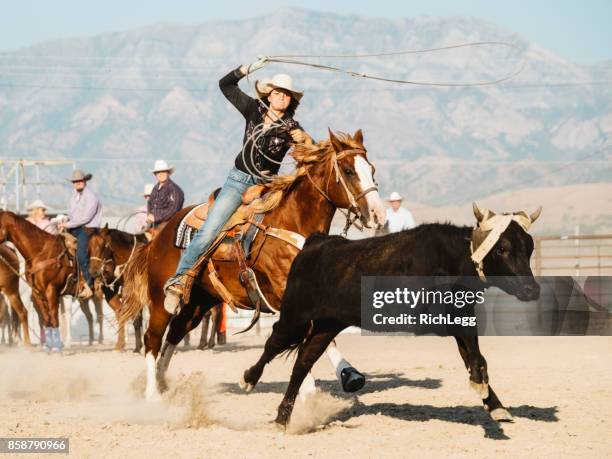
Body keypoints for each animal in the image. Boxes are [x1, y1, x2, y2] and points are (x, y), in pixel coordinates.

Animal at [120, 129, 384, 398]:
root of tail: (158, 237)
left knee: (175, 332)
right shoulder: (283, 294)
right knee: (153, 338)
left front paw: (348, 374)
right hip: (160, 300)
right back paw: (152, 393)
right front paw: (308, 392)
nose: (378, 215)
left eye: (371, 169)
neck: (291, 224)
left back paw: (163, 384)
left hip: (200, 300)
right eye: (349, 171)